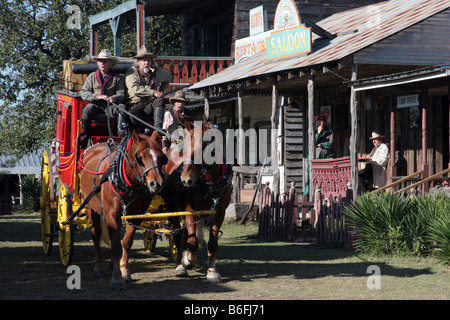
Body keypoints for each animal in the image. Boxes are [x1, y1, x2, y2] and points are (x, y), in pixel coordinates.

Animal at [80, 130, 166, 290]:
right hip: (92, 208)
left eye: (161, 156)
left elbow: (126, 243)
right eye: (140, 158)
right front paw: (116, 278)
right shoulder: (111, 214)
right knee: (96, 234)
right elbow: (115, 247)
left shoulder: (135, 216)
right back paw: (99, 267)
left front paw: (125, 271)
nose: (156, 183)